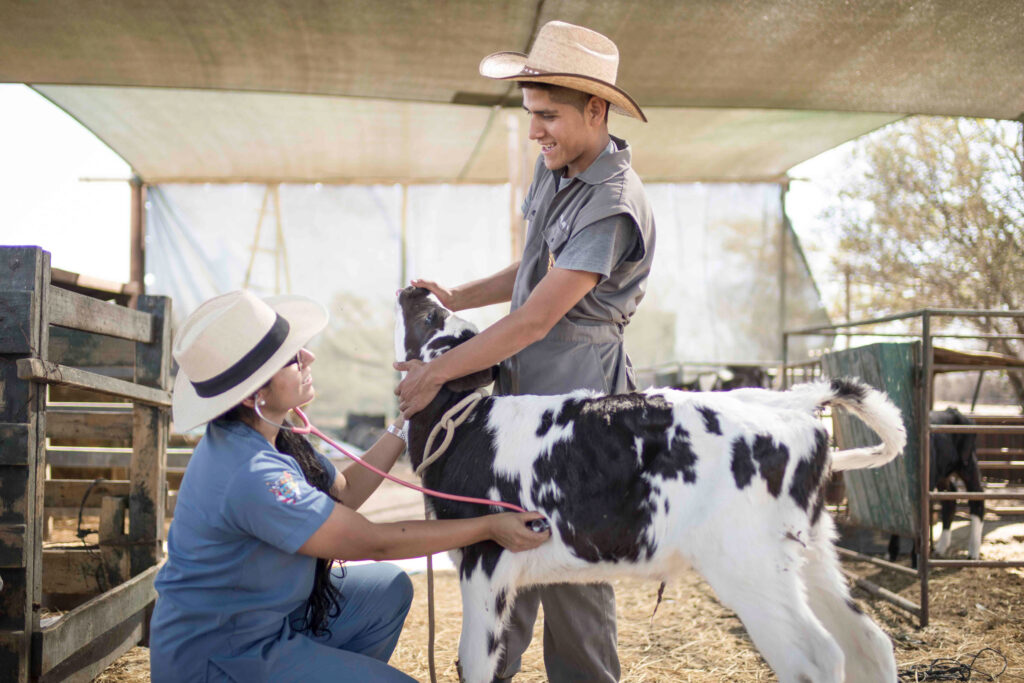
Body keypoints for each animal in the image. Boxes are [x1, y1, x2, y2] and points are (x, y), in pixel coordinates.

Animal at [395, 288, 909, 683]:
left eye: (431, 316)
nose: (415, 289)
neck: (464, 426)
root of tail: (791, 402)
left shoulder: (485, 560)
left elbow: (474, 661)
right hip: (812, 550)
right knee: (869, 642)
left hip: (750, 564)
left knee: (815, 658)